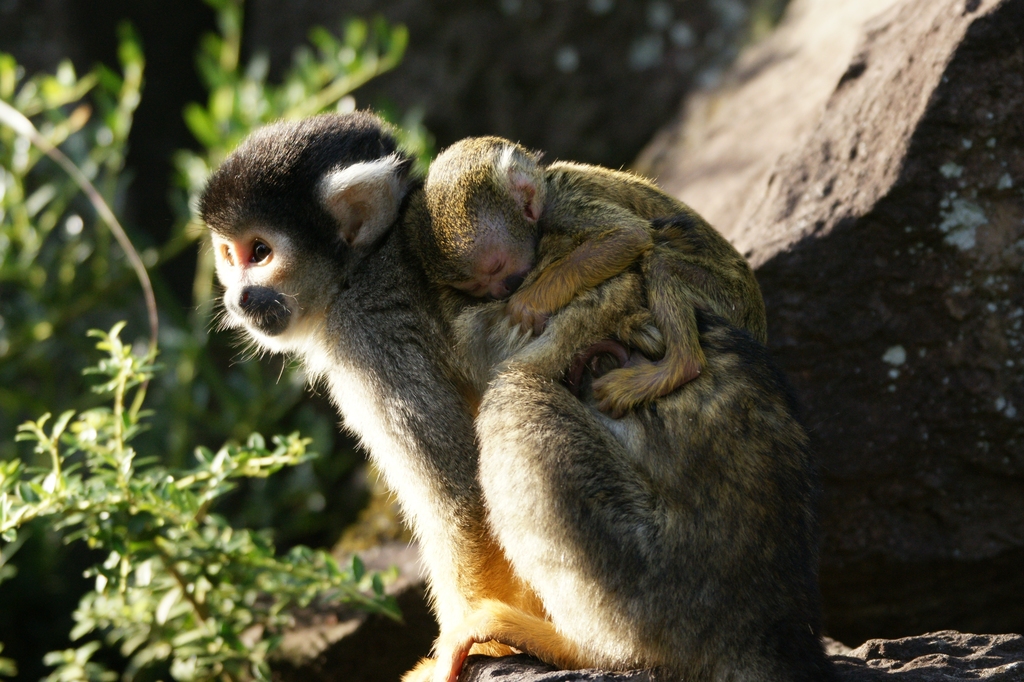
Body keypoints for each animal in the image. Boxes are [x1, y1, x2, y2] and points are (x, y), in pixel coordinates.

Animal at [419, 137, 765, 413]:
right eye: (477, 286)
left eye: (497, 269)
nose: (499, 292)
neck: (546, 187)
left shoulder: (562, 205)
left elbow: (628, 235)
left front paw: (527, 303)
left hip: (728, 296)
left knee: (661, 262)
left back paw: (679, 366)